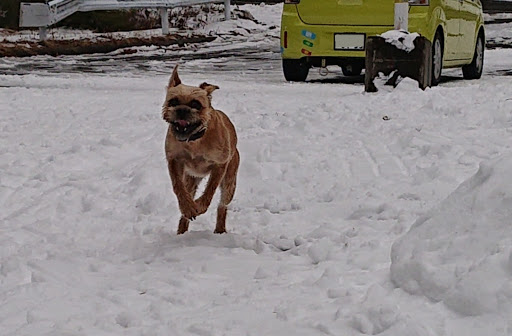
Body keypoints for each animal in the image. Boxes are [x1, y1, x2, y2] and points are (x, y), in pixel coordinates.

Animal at [162, 65, 240, 234]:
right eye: (173, 101)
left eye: (196, 104)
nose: (182, 110)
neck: (194, 140)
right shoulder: (174, 161)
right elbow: (178, 186)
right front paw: (188, 207)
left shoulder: (220, 165)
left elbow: (210, 189)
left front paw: (199, 206)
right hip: (191, 179)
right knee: (187, 194)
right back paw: (182, 230)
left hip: (229, 181)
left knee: (222, 205)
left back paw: (220, 229)